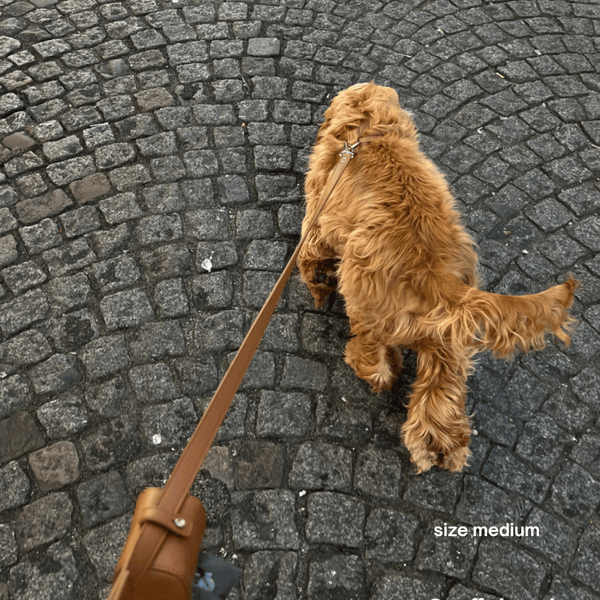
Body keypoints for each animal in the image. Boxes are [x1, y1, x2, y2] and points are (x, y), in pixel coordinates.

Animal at [300, 82, 576, 474]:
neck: (367, 131)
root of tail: (436, 277)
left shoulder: (318, 217)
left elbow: (310, 256)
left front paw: (317, 286)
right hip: (447, 345)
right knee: (439, 395)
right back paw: (443, 448)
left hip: (366, 299)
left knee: (375, 360)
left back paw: (367, 363)